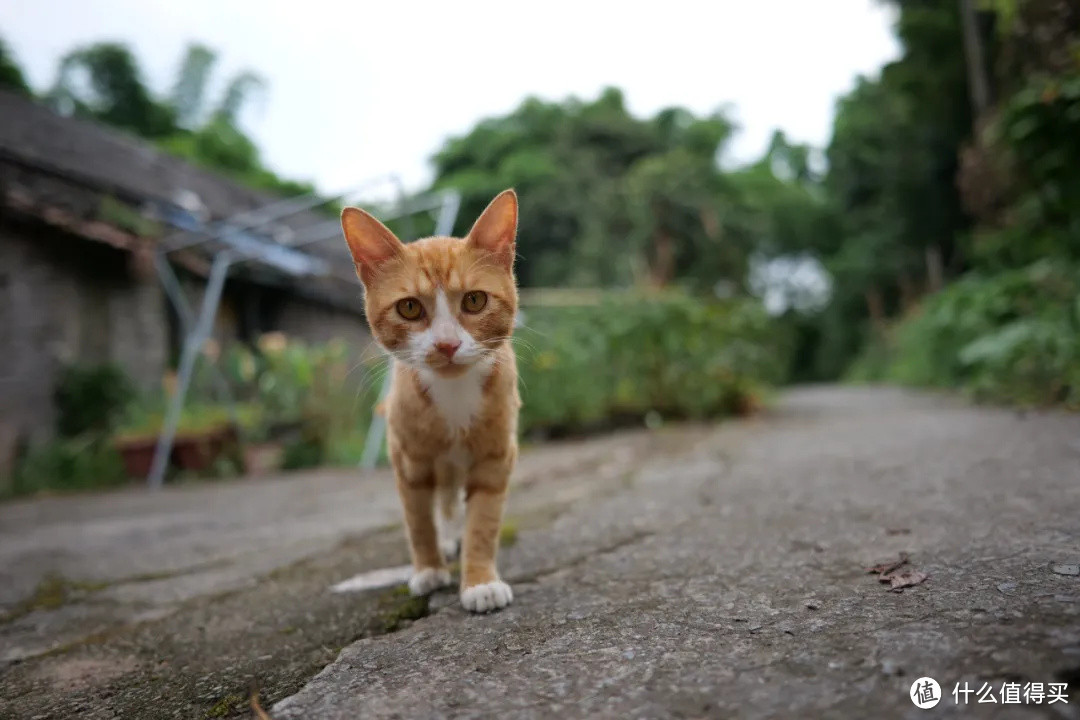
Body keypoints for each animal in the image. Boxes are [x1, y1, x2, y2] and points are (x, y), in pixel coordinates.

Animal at [339, 188, 520, 613]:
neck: (453, 396)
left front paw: (480, 581)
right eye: (409, 307)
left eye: (474, 301)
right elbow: (418, 520)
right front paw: (429, 570)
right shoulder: (410, 461)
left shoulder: (495, 458)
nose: (447, 344)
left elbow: (483, 522)